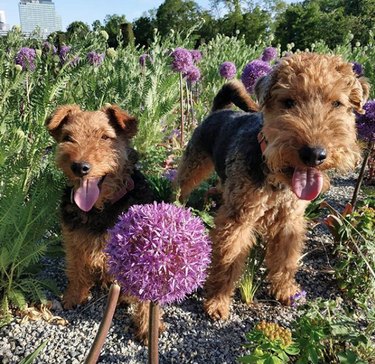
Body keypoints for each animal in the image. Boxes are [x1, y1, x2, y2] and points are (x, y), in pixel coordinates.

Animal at [46, 104, 159, 340]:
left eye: (105, 137)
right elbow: (76, 268)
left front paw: (148, 327)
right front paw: (73, 296)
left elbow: (146, 296)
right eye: (68, 137)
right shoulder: (73, 240)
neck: (101, 208)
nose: (80, 167)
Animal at [177, 52, 370, 320]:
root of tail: (219, 111)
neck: (276, 178)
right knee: (181, 185)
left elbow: (285, 260)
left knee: (215, 188)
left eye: (337, 104)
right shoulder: (238, 220)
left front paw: (285, 290)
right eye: (288, 101)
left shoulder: (290, 221)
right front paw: (217, 301)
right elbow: (227, 261)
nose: (314, 154)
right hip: (194, 165)